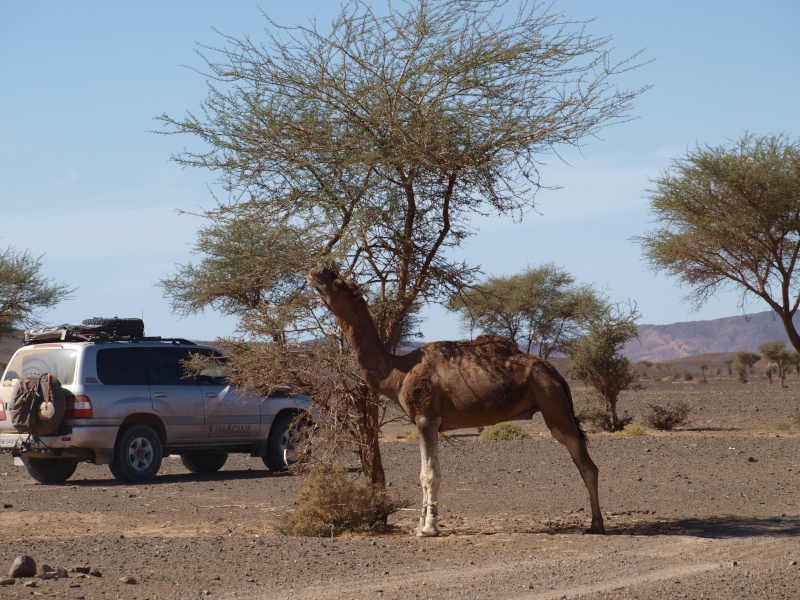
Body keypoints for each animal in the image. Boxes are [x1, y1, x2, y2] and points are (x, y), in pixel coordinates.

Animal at [304, 268, 604, 536]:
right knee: (583, 464)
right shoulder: (427, 423)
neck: (397, 372)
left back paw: (597, 525)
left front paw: (429, 529)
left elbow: (430, 475)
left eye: (339, 283)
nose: (317, 271)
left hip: (553, 402)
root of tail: (557, 375)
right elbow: (423, 475)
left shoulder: (426, 418)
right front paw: (418, 526)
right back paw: (593, 522)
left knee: (588, 466)